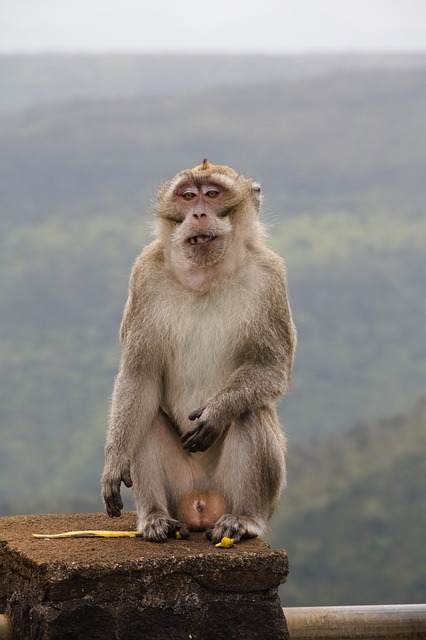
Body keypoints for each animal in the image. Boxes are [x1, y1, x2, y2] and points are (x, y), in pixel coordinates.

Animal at [101, 158, 296, 544]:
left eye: (213, 193)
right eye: (188, 196)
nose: (199, 213)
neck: (207, 277)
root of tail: (201, 504)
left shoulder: (270, 277)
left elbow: (272, 367)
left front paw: (216, 412)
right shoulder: (144, 275)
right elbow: (140, 377)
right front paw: (114, 461)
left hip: (240, 492)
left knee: (251, 410)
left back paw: (243, 519)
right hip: (180, 488)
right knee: (145, 416)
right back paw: (156, 518)